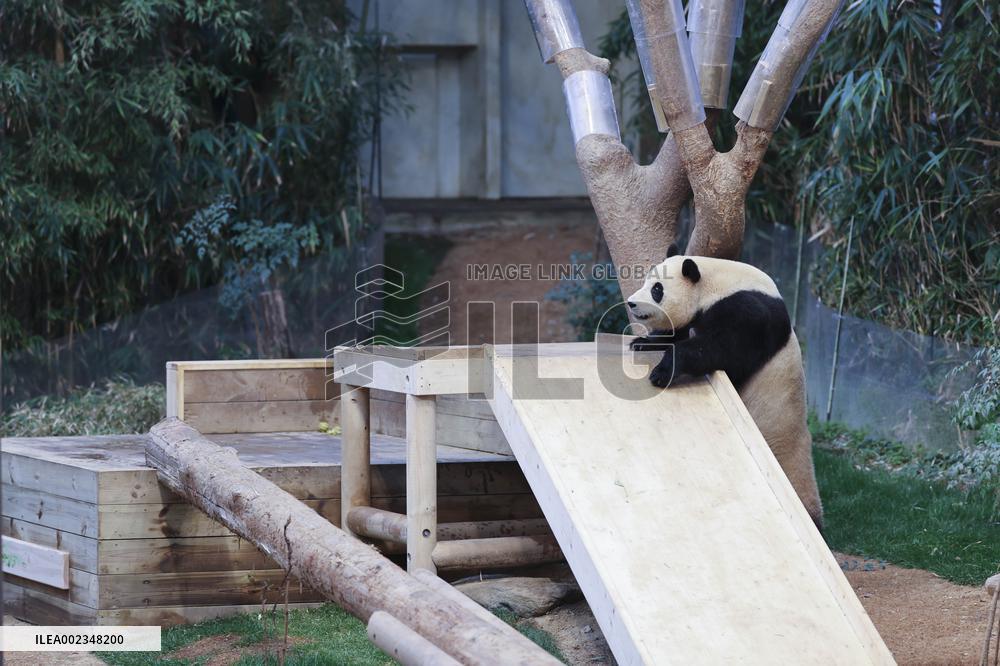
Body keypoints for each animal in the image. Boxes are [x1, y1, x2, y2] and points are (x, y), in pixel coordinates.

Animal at [626, 244, 823, 531]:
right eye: (646, 282)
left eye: (657, 289)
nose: (631, 302)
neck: (716, 281)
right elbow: (680, 332)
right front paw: (642, 342)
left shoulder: (749, 313)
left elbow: (724, 351)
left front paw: (663, 371)